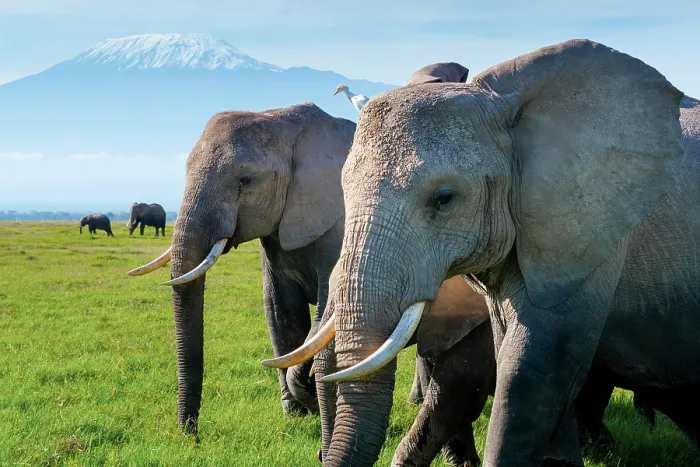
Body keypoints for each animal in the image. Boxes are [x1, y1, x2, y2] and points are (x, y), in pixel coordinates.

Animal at [126, 62, 473, 435]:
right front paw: (294, 412)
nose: (190, 433)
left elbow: (324, 311)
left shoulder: (341, 224)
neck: (284, 124)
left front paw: (308, 396)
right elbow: (280, 311)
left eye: (245, 180)